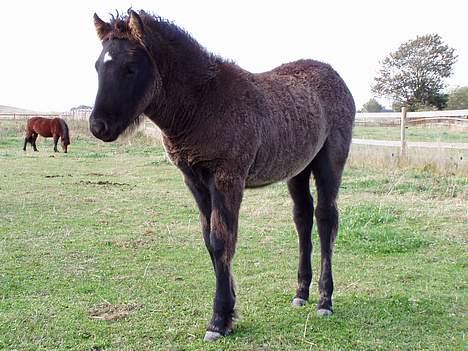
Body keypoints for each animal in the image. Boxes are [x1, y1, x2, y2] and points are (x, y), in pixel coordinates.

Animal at [90, 10, 354, 340]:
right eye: (98, 66)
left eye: (130, 68)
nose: (98, 126)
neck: (202, 103)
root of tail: (337, 77)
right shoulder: (195, 181)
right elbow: (210, 241)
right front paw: (229, 313)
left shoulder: (228, 179)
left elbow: (221, 241)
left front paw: (218, 320)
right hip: (298, 169)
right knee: (302, 219)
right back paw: (300, 294)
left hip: (329, 164)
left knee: (325, 219)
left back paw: (325, 300)